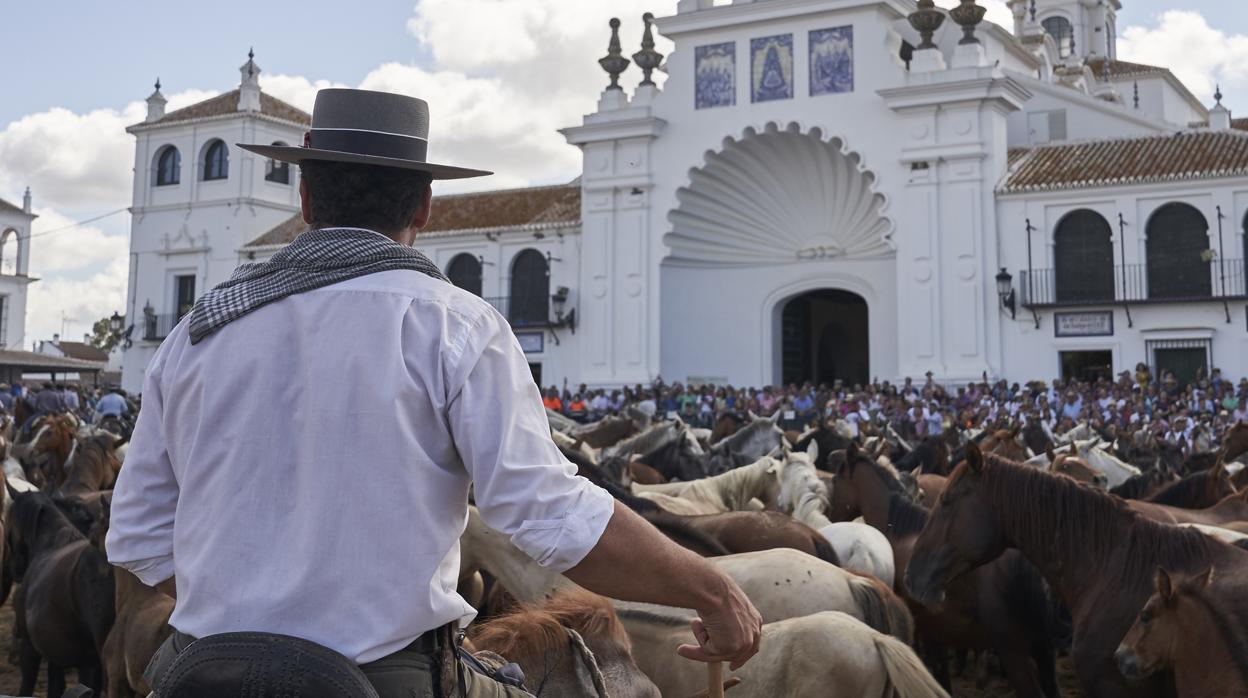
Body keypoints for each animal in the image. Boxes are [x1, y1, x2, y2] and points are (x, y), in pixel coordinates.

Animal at [833, 444, 1058, 694]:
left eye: (834, 480)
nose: (831, 514)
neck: (897, 529)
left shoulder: (929, 632)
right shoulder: (935, 629)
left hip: (1015, 654)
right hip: (1042, 650)